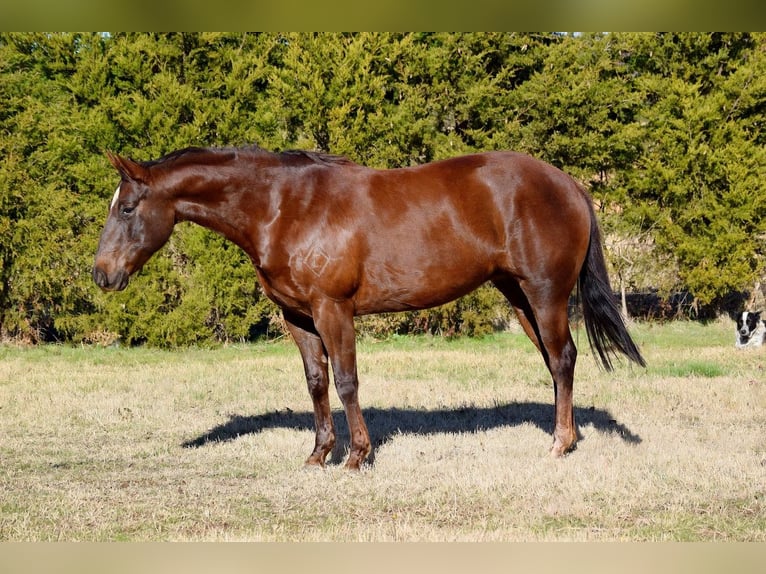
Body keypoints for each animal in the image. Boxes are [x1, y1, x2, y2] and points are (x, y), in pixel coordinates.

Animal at [93, 145, 645, 469]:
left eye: (127, 208)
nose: (102, 274)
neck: (283, 206)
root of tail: (569, 184)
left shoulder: (332, 309)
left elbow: (346, 382)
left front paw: (357, 456)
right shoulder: (298, 317)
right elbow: (316, 383)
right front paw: (318, 454)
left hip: (545, 293)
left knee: (563, 358)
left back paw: (560, 444)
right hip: (519, 295)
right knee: (555, 362)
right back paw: (564, 436)